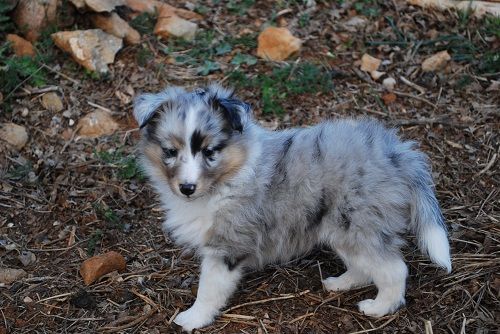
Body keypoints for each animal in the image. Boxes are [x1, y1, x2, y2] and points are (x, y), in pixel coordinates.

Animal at [134, 83, 454, 332]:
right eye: (169, 151)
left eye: (210, 151)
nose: (187, 188)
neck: (226, 179)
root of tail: (397, 153)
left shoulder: (226, 247)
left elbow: (209, 288)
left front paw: (192, 318)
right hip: (343, 229)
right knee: (365, 267)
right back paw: (340, 283)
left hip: (358, 225)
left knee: (394, 269)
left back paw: (378, 307)